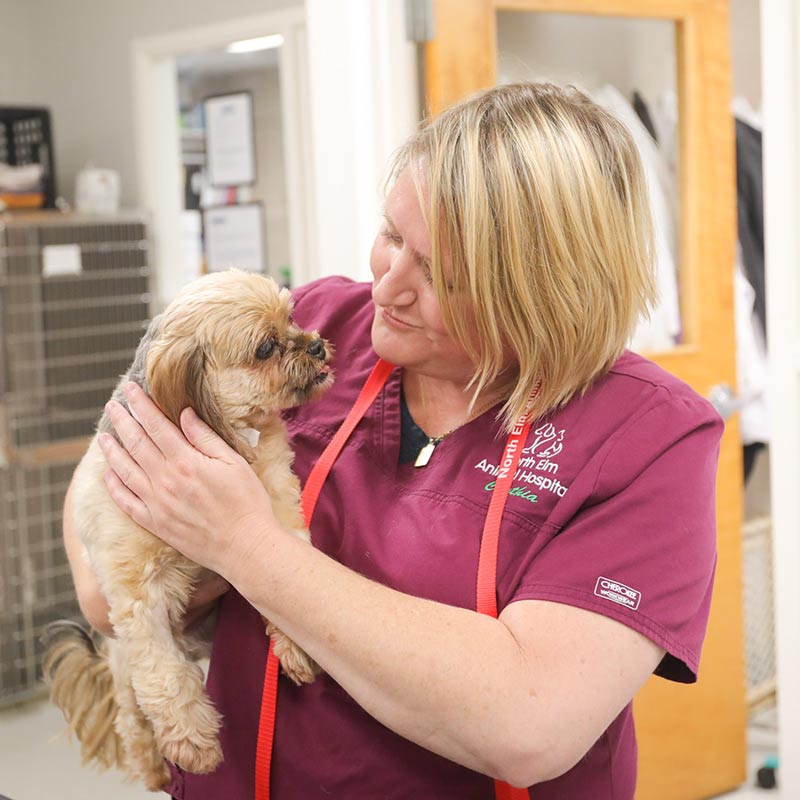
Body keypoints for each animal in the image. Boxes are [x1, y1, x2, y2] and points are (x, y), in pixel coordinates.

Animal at [43, 268, 332, 788]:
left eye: (293, 317)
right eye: (265, 347)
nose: (316, 345)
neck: (231, 435)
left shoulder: (278, 509)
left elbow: (292, 573)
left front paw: (297, 641)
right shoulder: (138, 596)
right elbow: (163, 675)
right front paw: (192, 741)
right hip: (120, 658)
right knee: (131, 711)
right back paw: (154, 763)